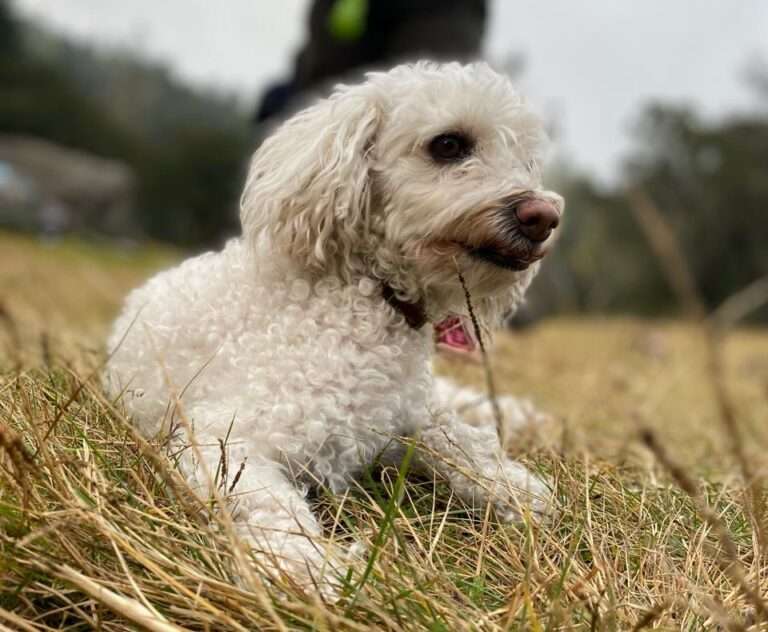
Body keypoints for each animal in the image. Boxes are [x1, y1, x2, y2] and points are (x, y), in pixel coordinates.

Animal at [105, 61, 564, 596]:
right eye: (449, 144)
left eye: (525, 161)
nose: (543, 217)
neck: (367, 297)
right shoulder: (225, 439)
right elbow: (269, 505)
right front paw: (308, 568)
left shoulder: (411, 415)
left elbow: (461, 441)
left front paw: (515, 487)